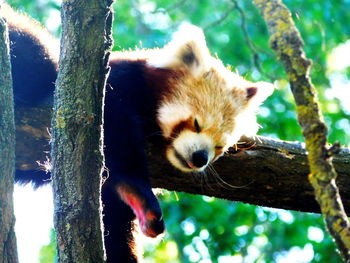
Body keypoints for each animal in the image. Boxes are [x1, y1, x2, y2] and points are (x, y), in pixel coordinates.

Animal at [4, 3, 274, 262]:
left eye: (219, 146)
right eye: (197, 123)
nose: (200, 158)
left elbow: (114, 221)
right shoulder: (109, 85)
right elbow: (116, 135)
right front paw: (137, 191)